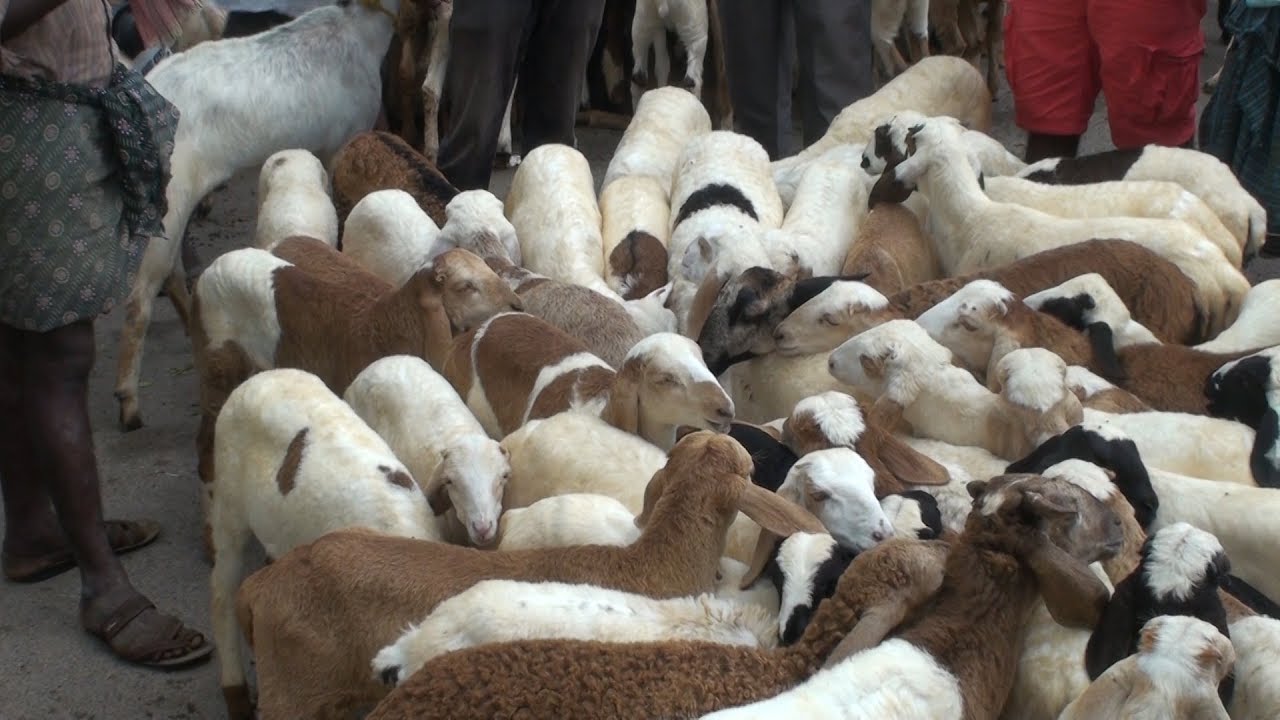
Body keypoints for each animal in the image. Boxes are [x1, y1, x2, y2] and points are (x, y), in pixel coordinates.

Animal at [113, 0, 405, 430]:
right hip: (169, 193)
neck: (359, 29)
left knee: (170, 271)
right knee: (140, 294)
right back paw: (129, 402)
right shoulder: (342, 138)